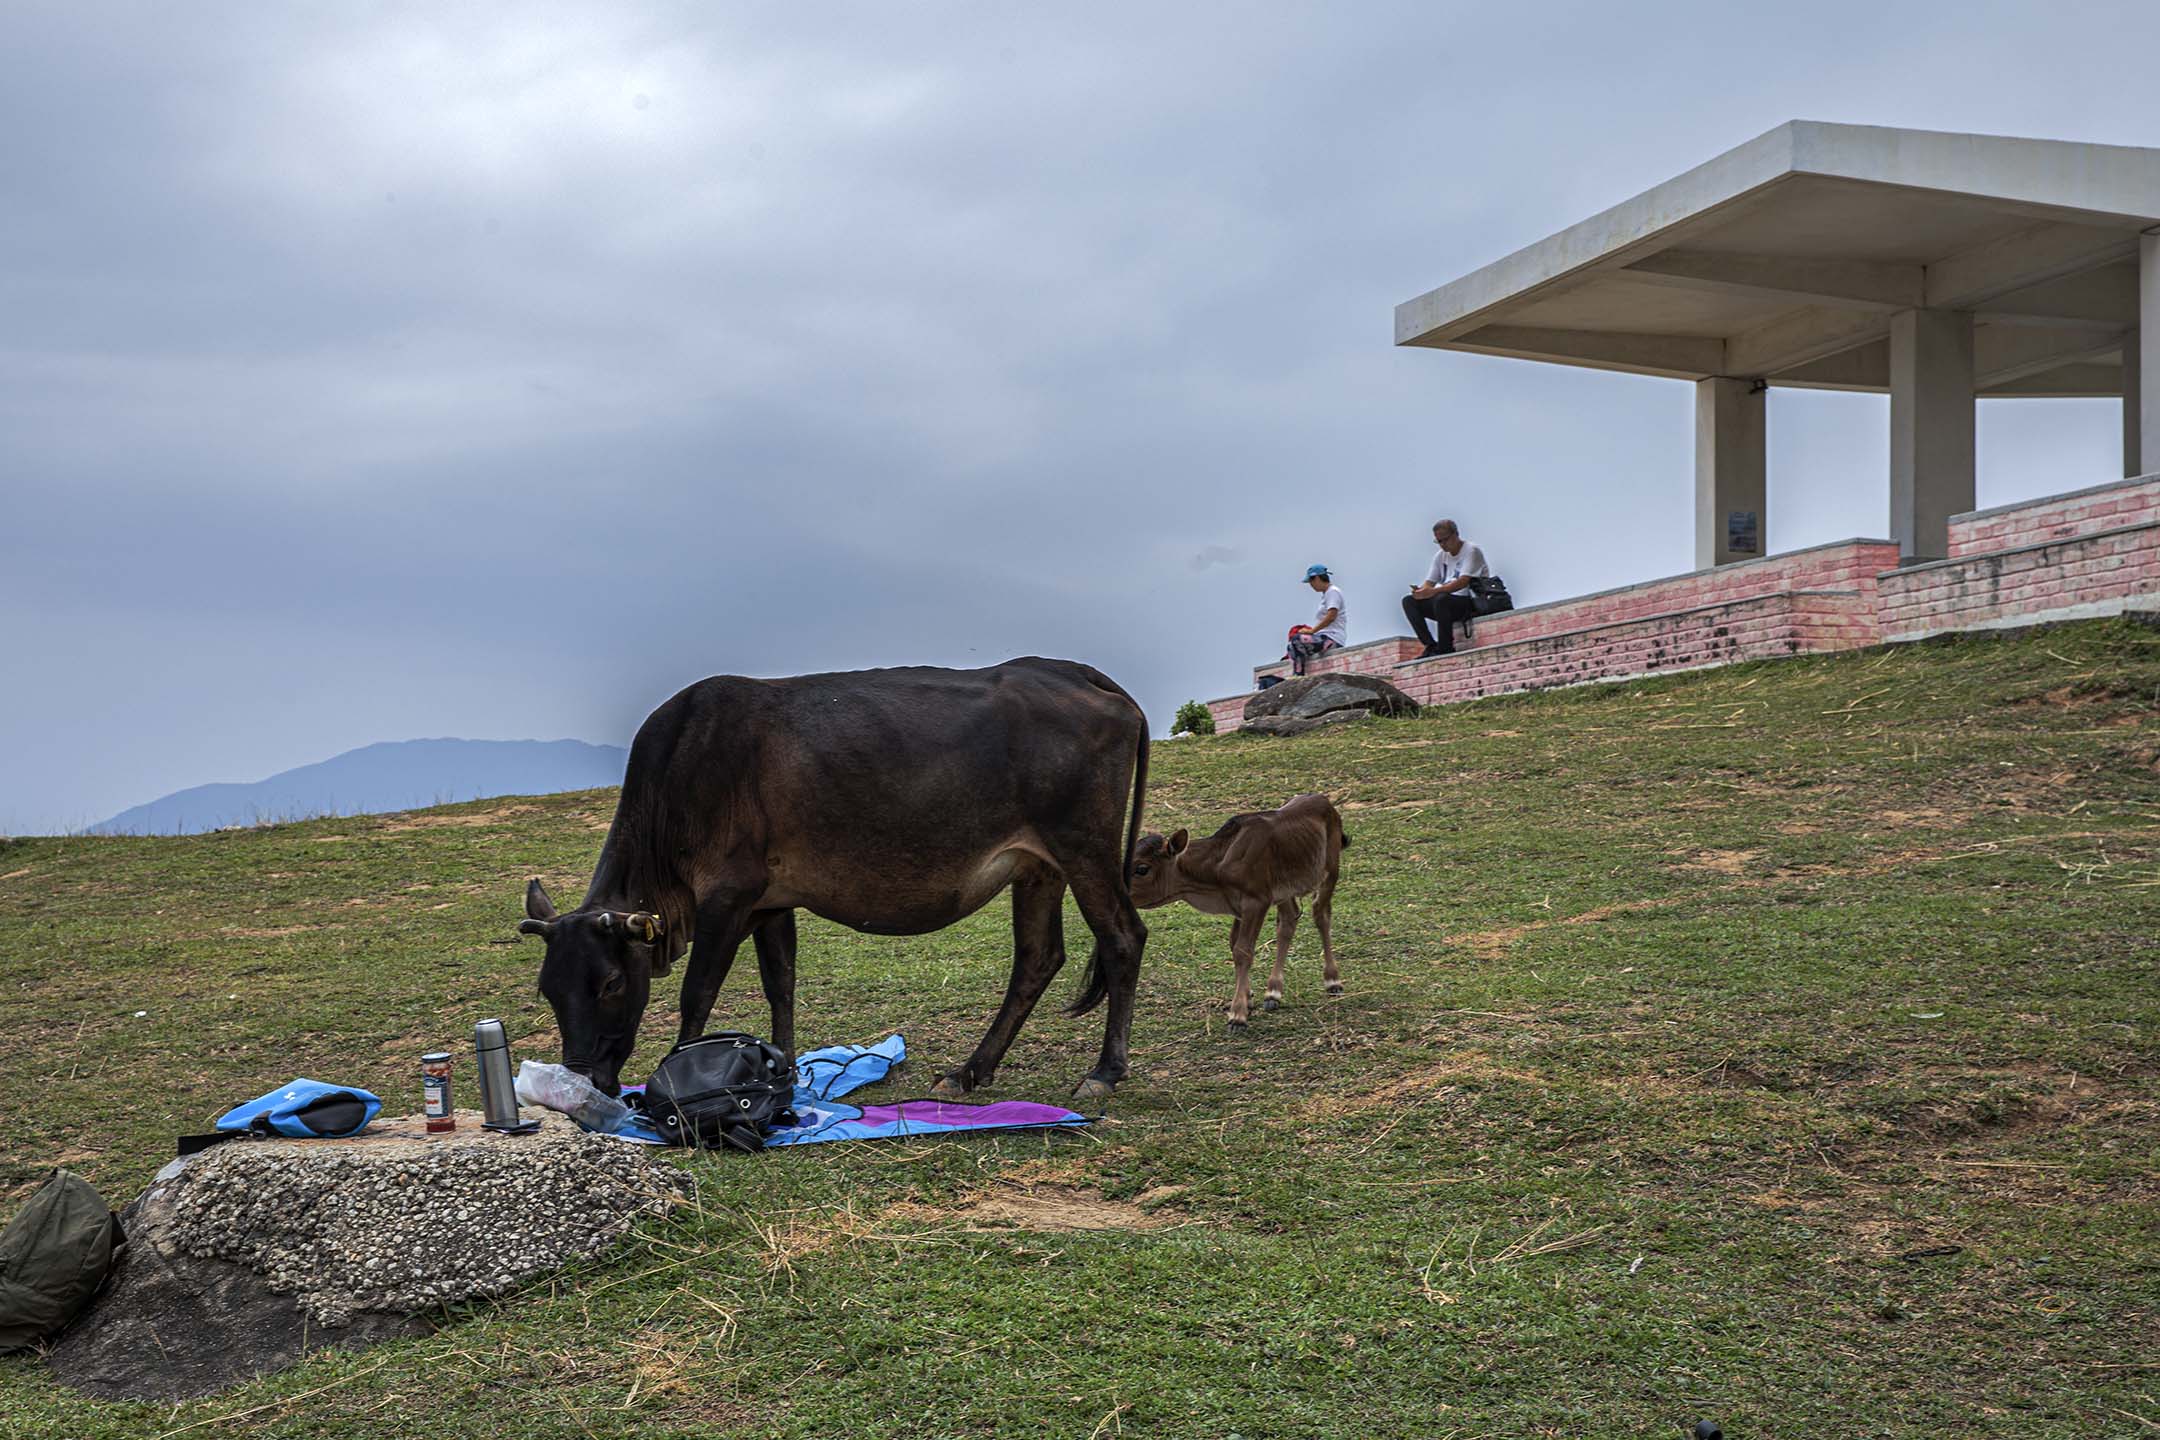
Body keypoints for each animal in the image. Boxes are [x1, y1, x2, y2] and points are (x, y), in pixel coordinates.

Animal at [1131, 794, 1347, 1031]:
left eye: (1142, 868)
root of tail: (1325, 801)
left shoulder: (1256, 899)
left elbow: (1243, 950)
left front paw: (1238, 1014)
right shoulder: (1237, 904)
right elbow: (1234, 943)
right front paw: (1248, 997)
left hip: (1330, 867)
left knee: (1321, 913)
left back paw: (1333, 980)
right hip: (1283, 889)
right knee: (1289, 920)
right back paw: (1273, 992)